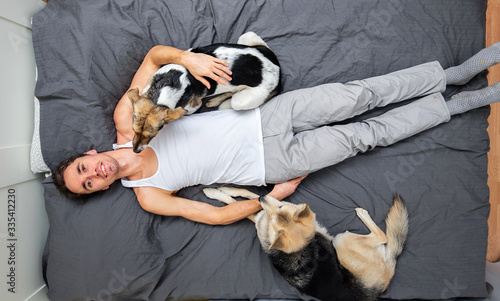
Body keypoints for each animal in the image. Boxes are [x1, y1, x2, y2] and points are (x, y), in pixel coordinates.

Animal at [128, 32, 282, 152]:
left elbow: (184, 112)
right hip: (247, 37)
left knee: (234, 99)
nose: (135, 151)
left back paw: (220, 103)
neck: (169, 84)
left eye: (153, 134)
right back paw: (214, 100)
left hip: (243, 101)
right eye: (134, 130)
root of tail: (277, 70)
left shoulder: (192, 106)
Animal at [203, 186, 406, 298]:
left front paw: (217, 193)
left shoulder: (261, 215)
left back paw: (363, 214)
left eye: (281, 207)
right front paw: (222, 190)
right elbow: (244, 197)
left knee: (383, 236)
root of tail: (384, 281)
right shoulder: (262, 213)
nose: (262, 197)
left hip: (341, 240)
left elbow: (238, 203)